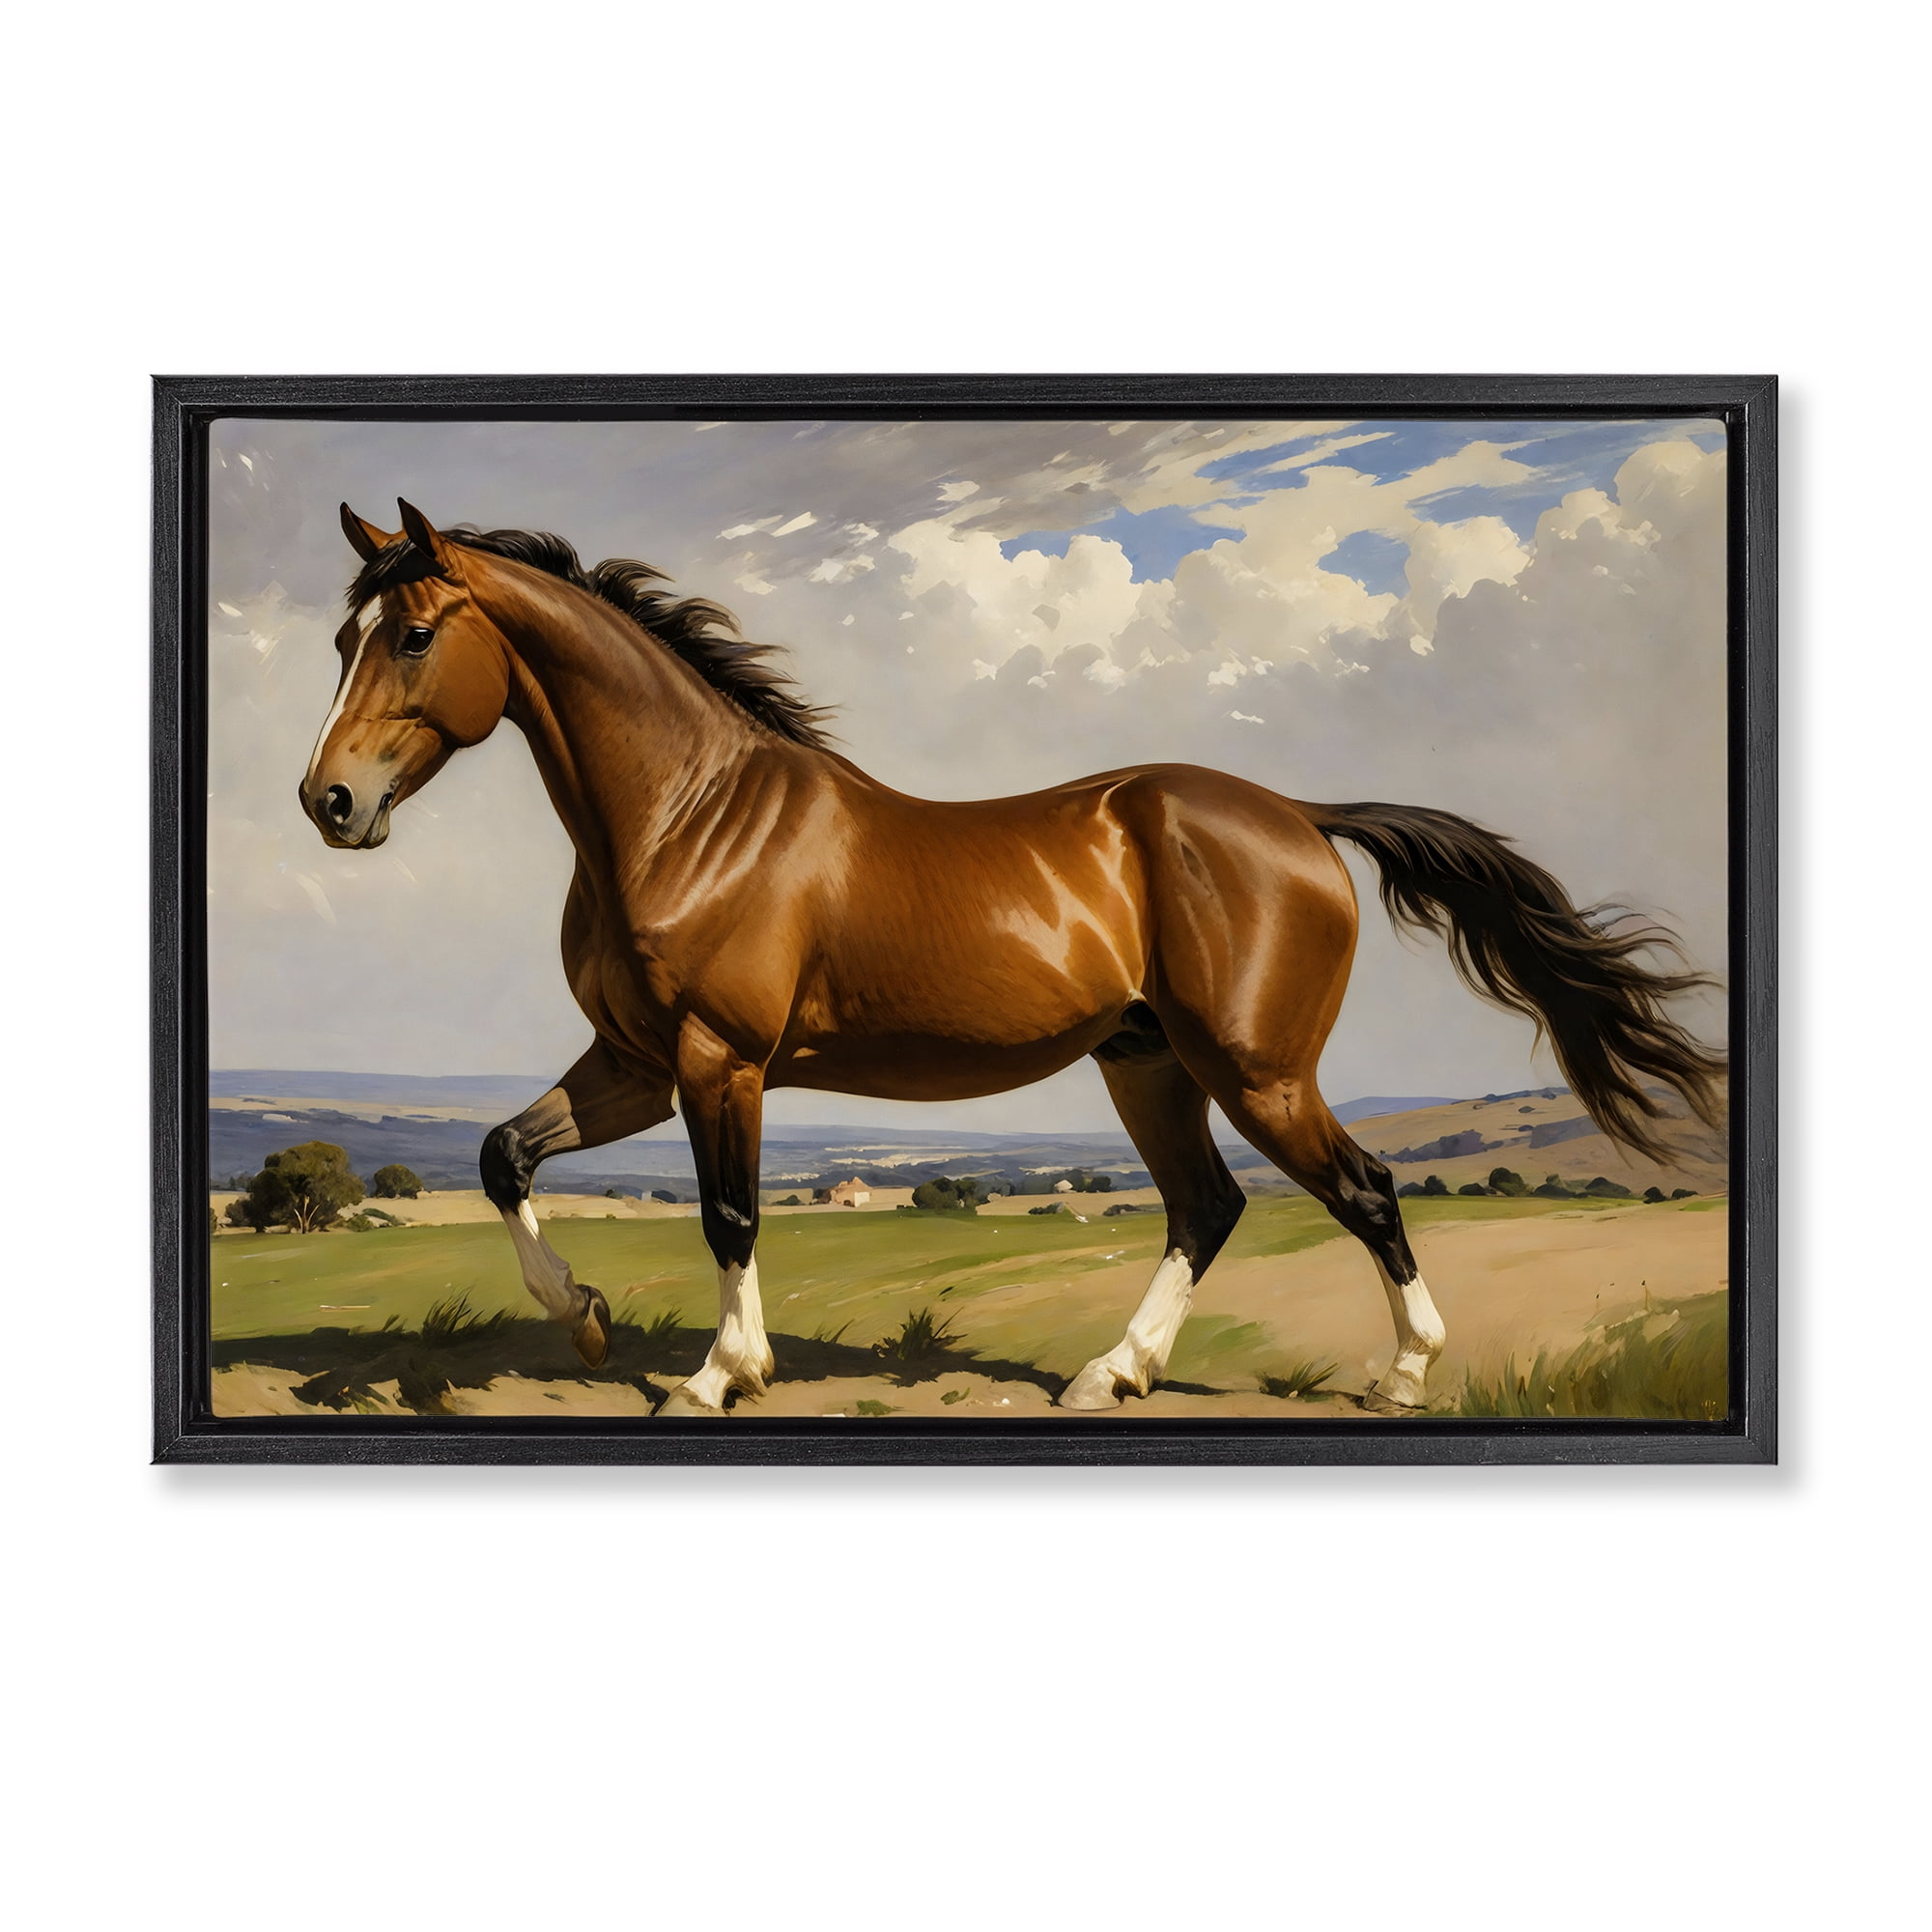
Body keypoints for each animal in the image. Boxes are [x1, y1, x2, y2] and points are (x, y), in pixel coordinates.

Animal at [299, 499, 1725, 1415]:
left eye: (413, 634)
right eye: (340, 641)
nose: (329, 803)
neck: (686, 817)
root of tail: (1298, 819)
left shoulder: (721, 1062)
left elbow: (729, 1213)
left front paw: (718, 1375)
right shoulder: (638, 1061)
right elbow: (502, 1156)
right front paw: (589, 1319)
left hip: (1255, 1070)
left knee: (1365, 1190)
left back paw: (1403, 1376)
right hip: (1148, 1065)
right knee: (1205, 1208)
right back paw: (1111, 1374)